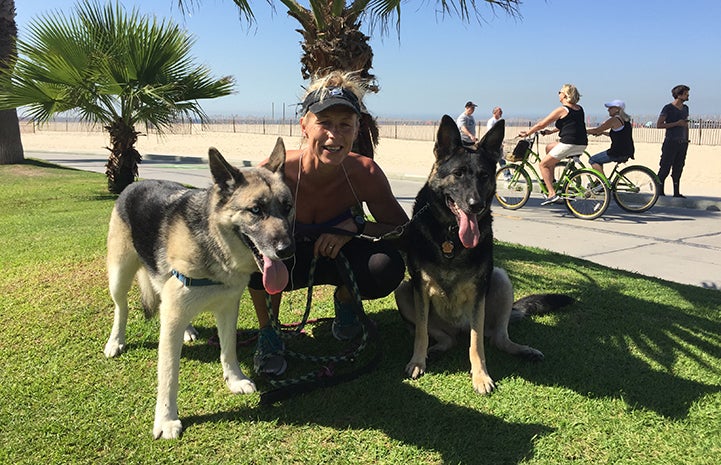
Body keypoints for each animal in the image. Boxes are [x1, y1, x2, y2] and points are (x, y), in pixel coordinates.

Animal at [102, 139, 294, 438]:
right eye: (256, 210)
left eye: (287, 208)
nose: (287, 251)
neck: (215, 245)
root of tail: (132, 185)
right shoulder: (172, 320)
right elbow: (168, 374)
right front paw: (166, 419)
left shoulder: (227, 308)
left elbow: (228, 349)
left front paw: (234, 380)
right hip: (119, 275)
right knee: (121, 308)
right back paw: (115, 341)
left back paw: (189, 331)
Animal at [394, 114, 572, 394]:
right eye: (457, 174)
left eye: (484, 175)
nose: (475, 204)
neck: (451, 235)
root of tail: (458, 328)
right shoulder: (419, 287)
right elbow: (421, 332)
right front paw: (417, 361)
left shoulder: (480, 293)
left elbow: (476, 342)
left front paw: (481, 376)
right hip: (404, 290)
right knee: (446, 338)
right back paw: (435, 350)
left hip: (499, 279)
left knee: (497, 338)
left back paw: (523, 350)